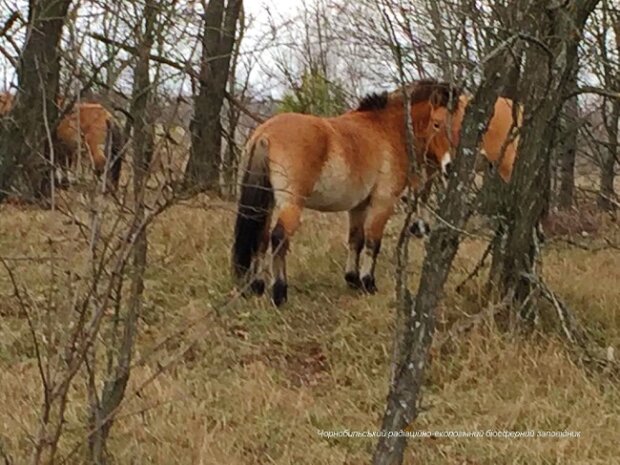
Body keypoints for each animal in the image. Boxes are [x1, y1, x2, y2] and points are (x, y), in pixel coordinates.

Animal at [232, 80, 460, 304]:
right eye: (437, 124)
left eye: (459, 125)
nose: (450, 167)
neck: (387, 129)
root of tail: (265, 134)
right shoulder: (382, 203)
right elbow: (373, 242)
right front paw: (368, 283)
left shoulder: (358, 206)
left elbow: (356, 240)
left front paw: (353, 280)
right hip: (291, 204)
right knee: (278, 238)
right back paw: (279, 292)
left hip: (268, 202)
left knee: (261, 237)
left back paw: (257, 286)